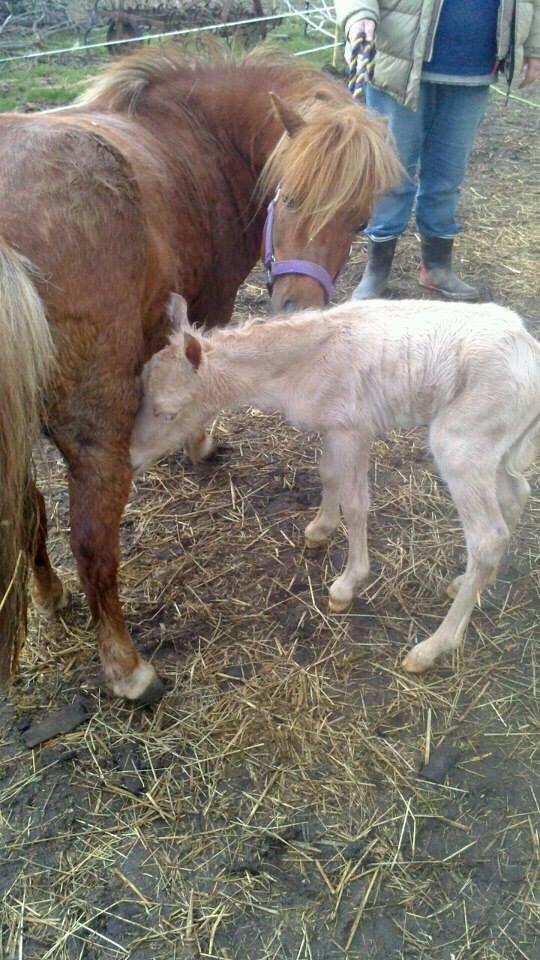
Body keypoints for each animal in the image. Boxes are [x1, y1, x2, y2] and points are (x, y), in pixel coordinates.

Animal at [0, 45, 401, 702]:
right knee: (91, 537)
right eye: (289, 197)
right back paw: (128, 669)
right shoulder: (210, 305)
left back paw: (51, 594)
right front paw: (201, 443)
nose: (297, 306)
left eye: (359, 220)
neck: (199, 134)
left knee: (28, 511)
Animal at [132, 294, 540, 673]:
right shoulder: (332, 427)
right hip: (493, 445)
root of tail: (530, 352)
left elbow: (356, 504)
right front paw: (319, 530)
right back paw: (472, 582)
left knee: (487, 537)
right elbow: (329, 475)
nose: (132, 458)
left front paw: (347, 585)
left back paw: (431, 648)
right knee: (516, 494)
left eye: (168, 412)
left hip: (462, 441)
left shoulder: (353, 428)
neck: (302, 365)